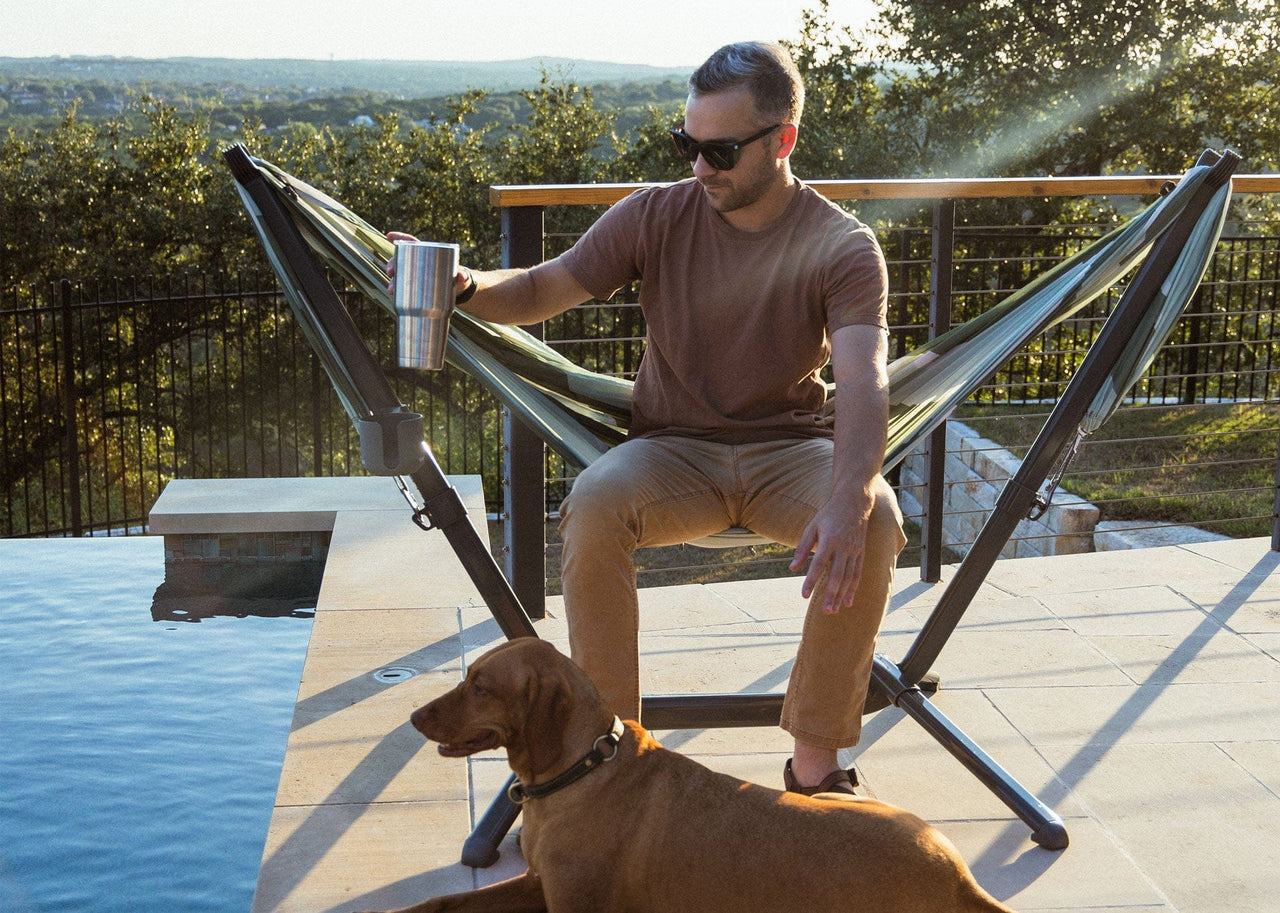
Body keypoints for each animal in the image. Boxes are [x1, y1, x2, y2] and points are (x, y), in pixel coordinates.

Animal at [373, 635, 1018, 911]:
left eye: (481, 686)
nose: (413, 716)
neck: (578, 772)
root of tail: (958, 879)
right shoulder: (537, 883)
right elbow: (438, 903)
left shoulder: (572, 906)